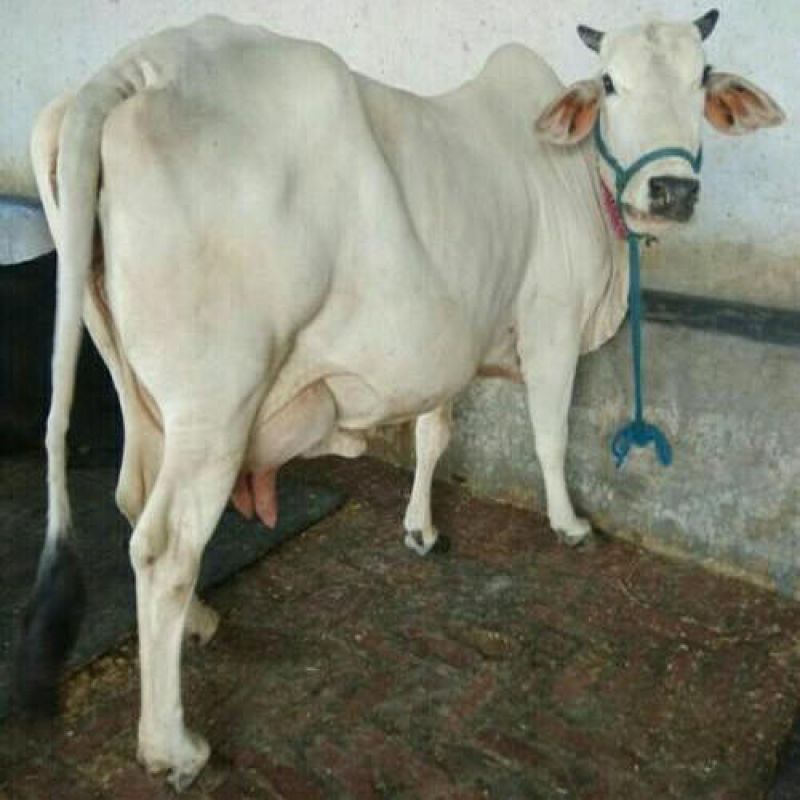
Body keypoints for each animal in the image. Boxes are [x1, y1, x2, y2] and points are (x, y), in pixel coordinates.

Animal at [17, 10, 783, 790]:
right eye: (609, 83)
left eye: (700, 79)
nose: (671, 191)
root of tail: (134, 68)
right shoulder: (553, 324)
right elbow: (550, 434)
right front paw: (568, 523)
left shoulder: (449, 343)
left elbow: (432, 435)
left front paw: (421, 529)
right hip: (216, 401)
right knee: (166, 544)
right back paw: (173, 745)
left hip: (139, 392)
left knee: (133, 498)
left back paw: (200, 621)